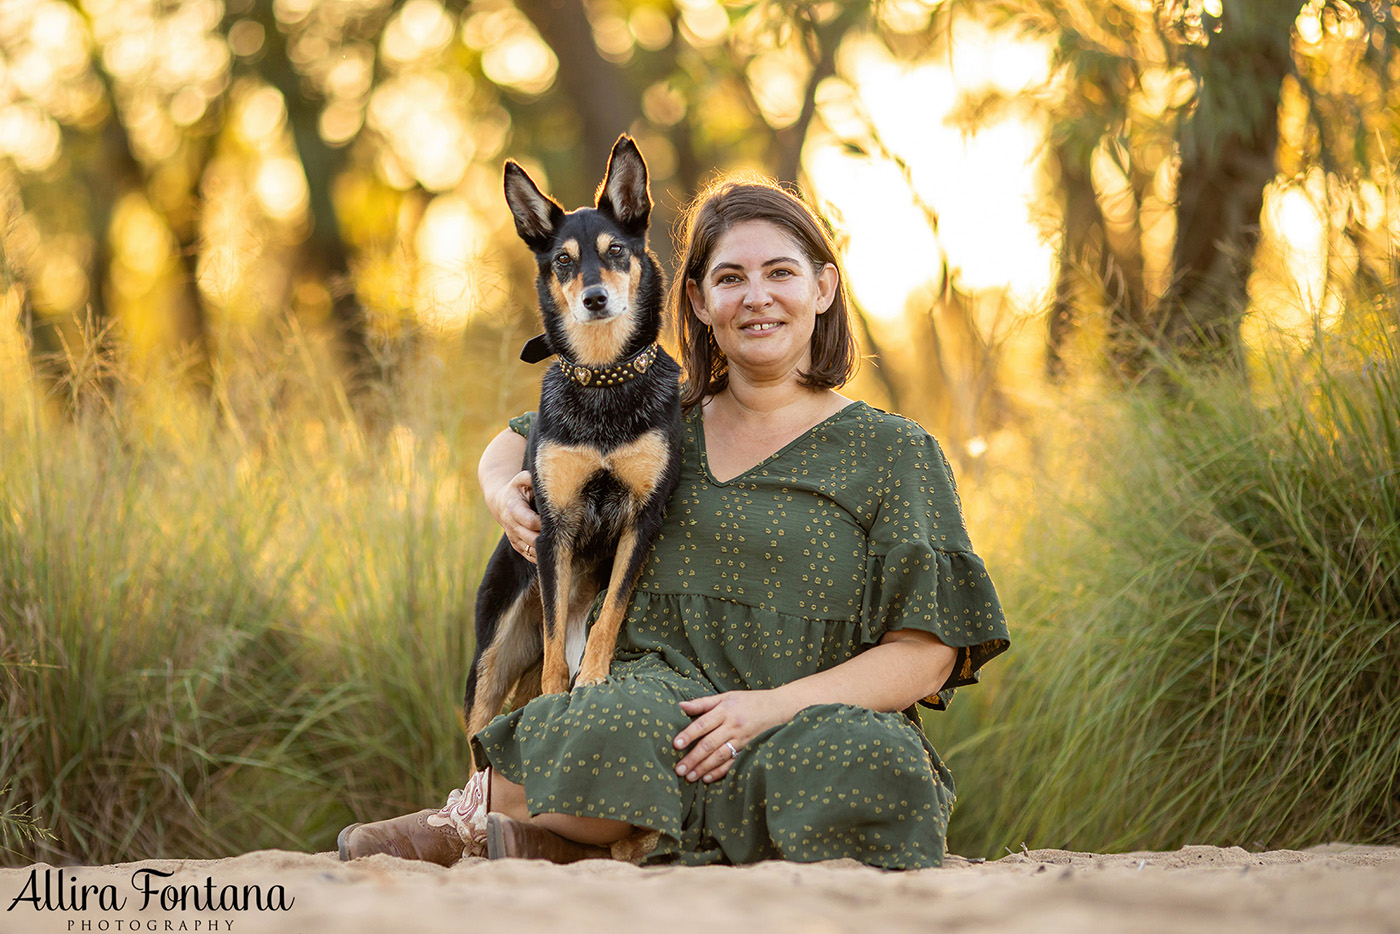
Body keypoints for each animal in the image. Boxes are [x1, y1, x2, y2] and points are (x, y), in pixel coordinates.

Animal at [464, 138, 683, 750]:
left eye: (616, 251)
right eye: (562, 260)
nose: (594, 298)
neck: (603, 380)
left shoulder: (644, 519)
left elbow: (611, 614)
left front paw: (592, 679)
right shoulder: (553, 529)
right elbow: (554, 632)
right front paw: (556, 693)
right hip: (491, 654)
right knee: (478, 735)